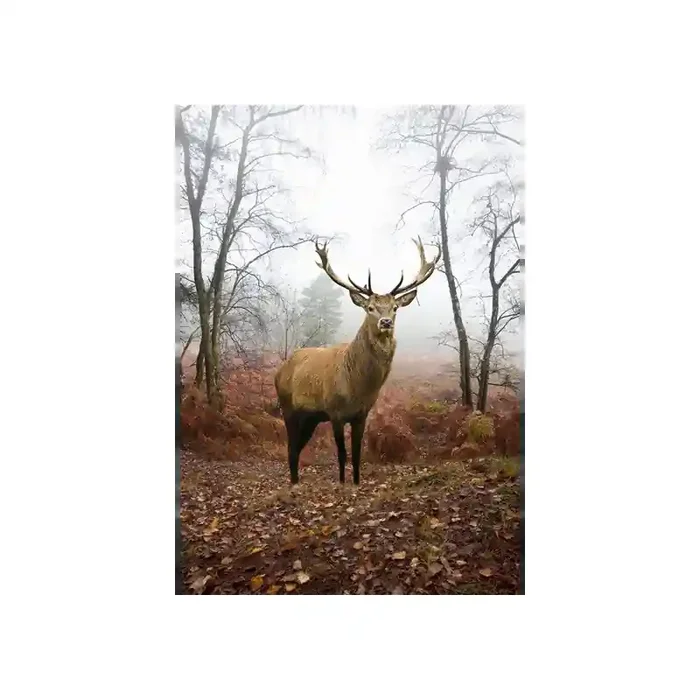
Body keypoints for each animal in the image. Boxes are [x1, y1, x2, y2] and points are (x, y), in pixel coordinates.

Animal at [274, 237, 441, 485]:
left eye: (395, 308)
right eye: (370, 307)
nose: (385, 322)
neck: (356, 386)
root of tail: (279, 371)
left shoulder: (361, 415)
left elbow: (356, 454)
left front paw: (356, 482)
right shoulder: (334, 412)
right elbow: (342, 454)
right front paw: (342, 483)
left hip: (311, 418)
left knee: (296, 448)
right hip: (289, 409)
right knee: (291, 448)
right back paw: (294, 484)